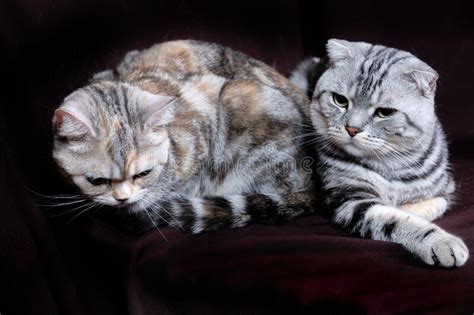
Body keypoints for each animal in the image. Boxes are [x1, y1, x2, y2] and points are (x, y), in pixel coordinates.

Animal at [290, 38, 468, 268]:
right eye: (340, 100)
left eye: (385, 112)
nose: (352, 129)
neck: (390, 165)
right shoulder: (351, 200)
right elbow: (397, 219)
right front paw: (441, 242)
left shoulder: (445, 189)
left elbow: (432, 204)